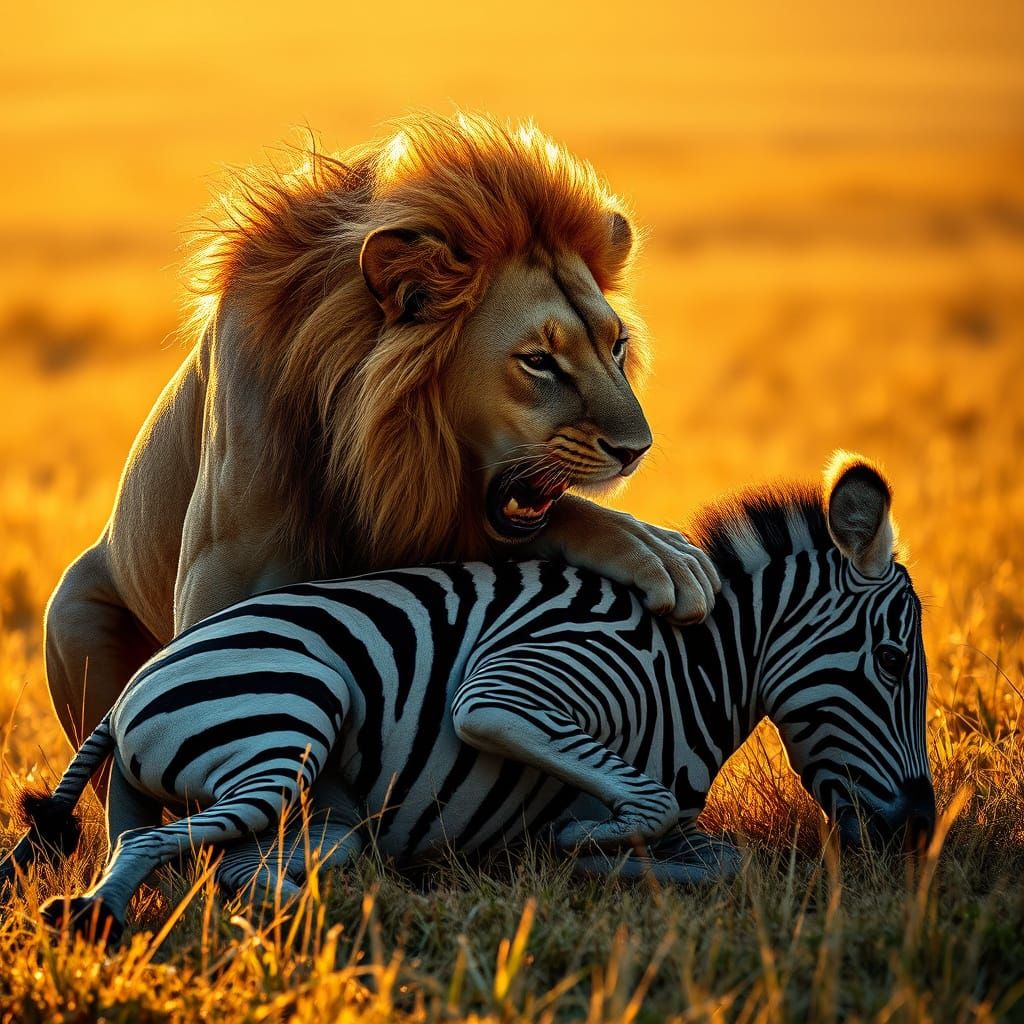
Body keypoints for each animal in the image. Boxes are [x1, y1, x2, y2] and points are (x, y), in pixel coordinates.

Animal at [44, 112, 720, 758]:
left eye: (617, 345)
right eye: (537, 361)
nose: (636, 450)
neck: (359, 448)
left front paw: (654, 547)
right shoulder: (214, 606)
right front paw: (656, 551)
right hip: (74, 626)